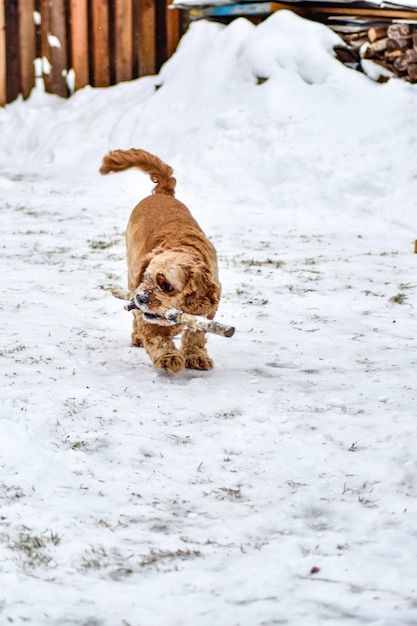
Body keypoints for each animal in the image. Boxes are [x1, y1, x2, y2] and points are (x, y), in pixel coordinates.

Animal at [99, 147, 221, 370]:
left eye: (167, 286)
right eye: (147, 278)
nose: (141, 297)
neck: (182, 247)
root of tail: (163, 193)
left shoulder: (208, 307)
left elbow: (196, 332)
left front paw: (195, 355)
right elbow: (155, 333)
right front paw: (167, 356)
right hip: (131, 273)